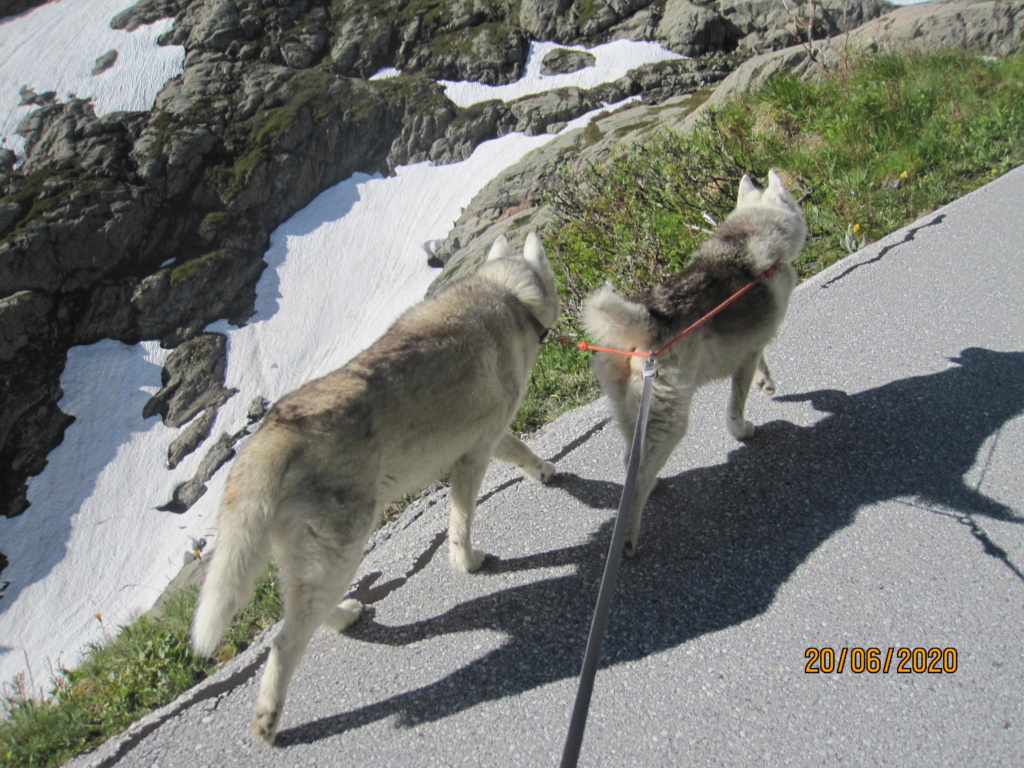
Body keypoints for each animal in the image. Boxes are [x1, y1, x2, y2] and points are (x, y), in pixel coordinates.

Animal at [192, 231, 561, 741]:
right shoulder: (474, 454)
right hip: (342, 549)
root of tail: (271, 433)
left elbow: (523, 453)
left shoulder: (486, 442)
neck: (506, 295)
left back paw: (345, 617)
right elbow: (461, 526)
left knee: (299, 612)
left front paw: (544, 472)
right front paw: (468, 562)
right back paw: (268, 719)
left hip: (308, 557)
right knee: (285, 640)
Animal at [585, 171, 806, 561]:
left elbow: (761, 365)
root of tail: (649, 319)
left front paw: (766, 384)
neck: (753, 232)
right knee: (638, 481)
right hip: (670, 422)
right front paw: (744, 430)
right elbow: (736, 407)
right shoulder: (748, 355)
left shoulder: (752, 346)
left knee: (631, 462)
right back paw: (628, 538)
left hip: (634, 418)